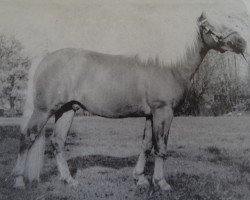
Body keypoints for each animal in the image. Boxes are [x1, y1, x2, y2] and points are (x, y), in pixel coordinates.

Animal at [12, 12, 246, 191]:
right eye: (211, 26)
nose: (242, 43)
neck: (169, 67)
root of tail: (46, 57)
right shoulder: (164, 112)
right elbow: (161, 146)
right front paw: (162, 183)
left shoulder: (151, 115)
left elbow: (146, 145)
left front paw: (140, 179)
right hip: (44, 110)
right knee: (26, 137)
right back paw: (19, 181)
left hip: (67, 110)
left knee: (58, 142)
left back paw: (69, 180)